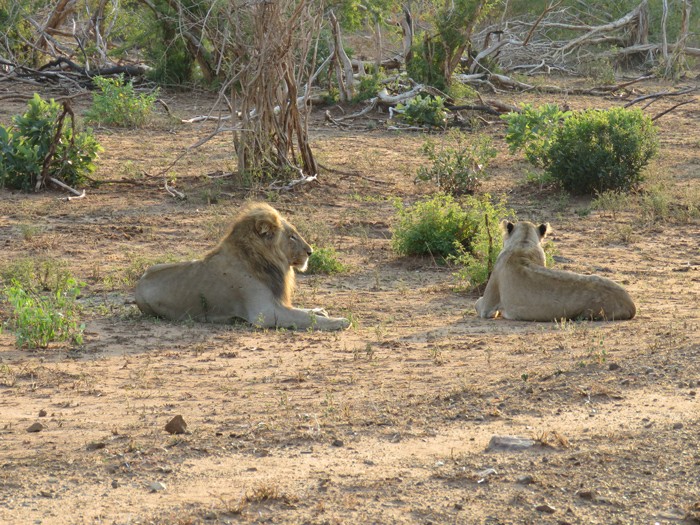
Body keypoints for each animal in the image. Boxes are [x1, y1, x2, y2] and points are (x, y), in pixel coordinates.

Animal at [134, 203, 350, 330]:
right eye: (291, 236)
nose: (310, 251)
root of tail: (138, 284)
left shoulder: (275, 304)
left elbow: (303, 311)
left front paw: (319, 310)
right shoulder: (264, 313)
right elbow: (305, 318)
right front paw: (340, 321)